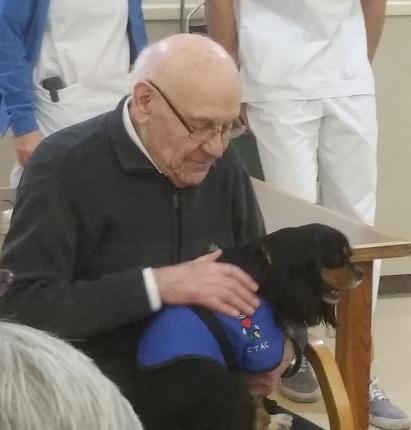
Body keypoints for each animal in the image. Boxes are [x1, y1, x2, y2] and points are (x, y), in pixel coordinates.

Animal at [135, 225, 364, 430]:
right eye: (337, 258)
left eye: (350, 255)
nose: (360, 273)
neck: (268, 269)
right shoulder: (254, 360)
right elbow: (259, 407)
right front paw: (272, 422)